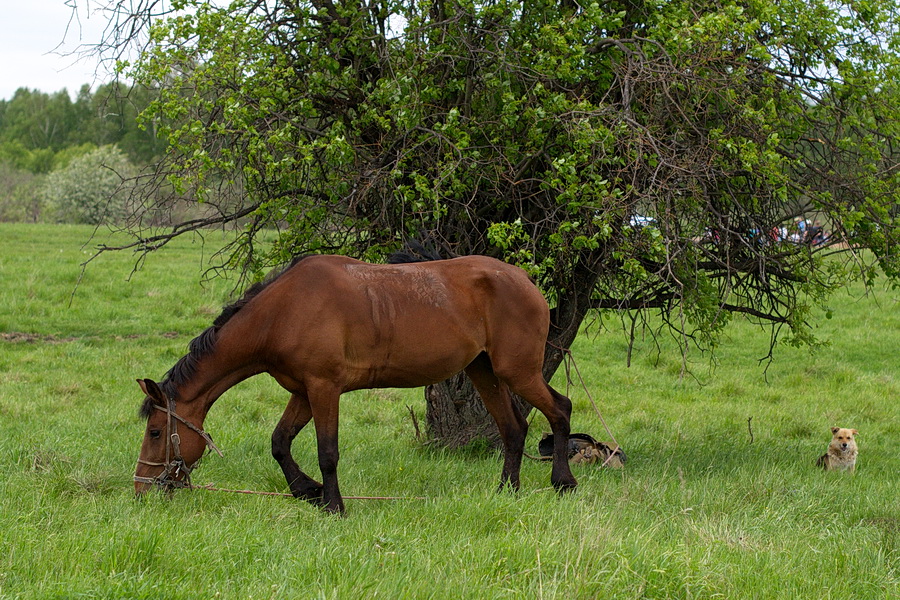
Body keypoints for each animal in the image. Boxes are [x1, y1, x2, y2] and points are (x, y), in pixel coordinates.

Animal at [134, 253, 576, 510]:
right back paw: (507, 491)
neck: (283, 311)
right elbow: (280, 442)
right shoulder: (303, 390)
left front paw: (333, 504)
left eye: (155, 432)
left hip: (517, 371)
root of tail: (525, 279)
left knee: (559, 409)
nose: (141, 488)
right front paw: (307, 491)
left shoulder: (324, 388)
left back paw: (563, 482)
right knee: (513, 428)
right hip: (484, 371)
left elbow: (327, 452)